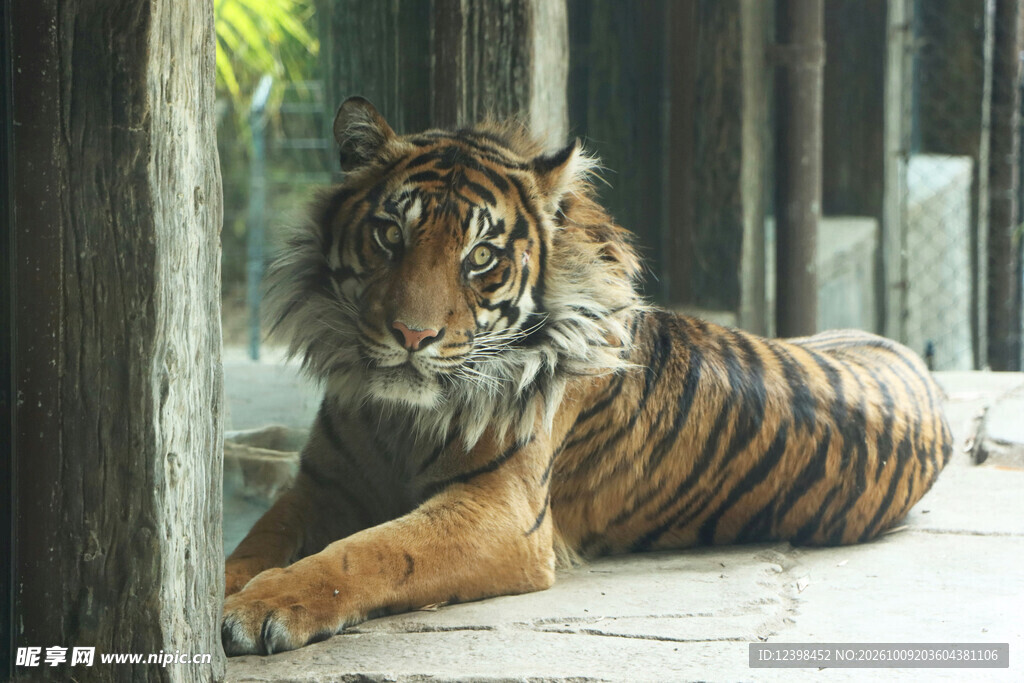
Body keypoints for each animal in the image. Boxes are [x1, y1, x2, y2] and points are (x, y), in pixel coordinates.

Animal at [221, 96, 953, 656]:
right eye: (388, 236)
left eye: (480, 256)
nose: (412, 336)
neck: (394, 416)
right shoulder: (324, 482)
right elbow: (258, 540)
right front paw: (224, 584)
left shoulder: (501, 513)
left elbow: (365, 552)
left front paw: (263, 606)